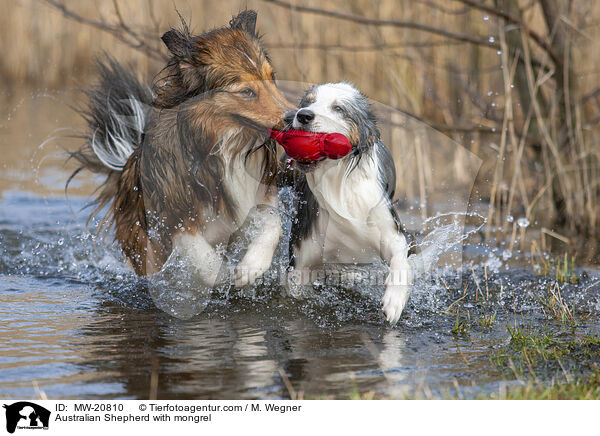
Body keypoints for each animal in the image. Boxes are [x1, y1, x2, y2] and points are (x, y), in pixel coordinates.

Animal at [70, 10, 290, 288]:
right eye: (246, 92)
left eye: (272, 77)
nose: (295, 117)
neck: (224, 147)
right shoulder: (175, 218)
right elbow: (204, 259)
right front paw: (221, 275)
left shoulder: (258, 195)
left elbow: (273, 225)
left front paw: (251, 267)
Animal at [282, 83, 414, 324]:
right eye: (307, 102)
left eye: (338, 108)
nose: (303, 115)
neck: (336, 183)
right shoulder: (302, 253)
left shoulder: (390, 229)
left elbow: (400, 261)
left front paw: (394, 302)